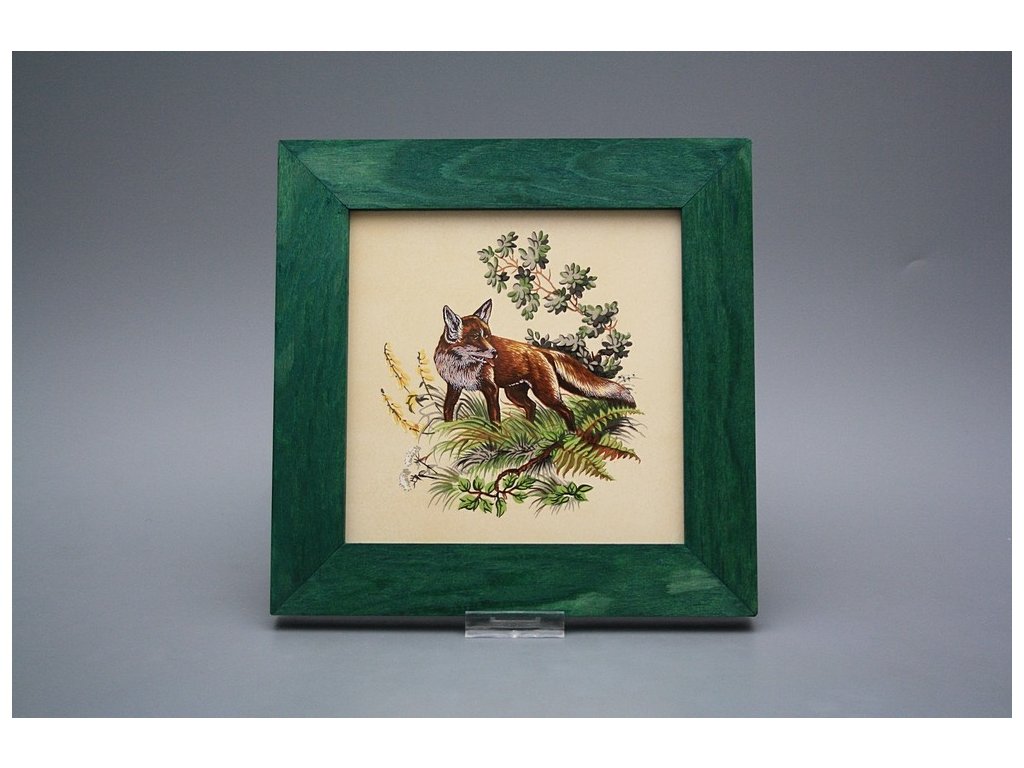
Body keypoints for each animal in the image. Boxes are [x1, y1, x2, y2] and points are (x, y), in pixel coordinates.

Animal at [433, 299, 635, 431]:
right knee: (531, 407)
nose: (494, 353)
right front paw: (447, 432)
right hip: (515, 393)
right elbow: (447, 411)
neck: (461, 366)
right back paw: (529, 430)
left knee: (567, 411)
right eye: (475, 337)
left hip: (546, 394)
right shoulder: (454, 386)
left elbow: (494, 418)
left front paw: (496, 439)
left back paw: (572, 435)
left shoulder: (491, 389)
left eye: (488, 336)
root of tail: (541, 350)